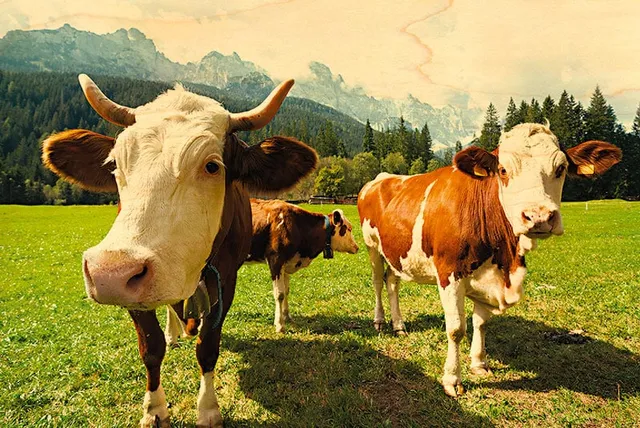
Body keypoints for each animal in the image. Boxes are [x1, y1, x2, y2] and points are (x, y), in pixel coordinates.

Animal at [42, 74, 317, 427]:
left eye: (212, 166)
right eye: (115, 164)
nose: (109, 274)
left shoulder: (225, 281)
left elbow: (208, 347)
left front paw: (208, 409)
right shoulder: (134, 290)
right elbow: (151, 348)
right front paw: (154, 409)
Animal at [246, 198, 359, 333]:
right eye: (348, 229)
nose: (357, 247)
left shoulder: (286, 263)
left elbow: (286, 291)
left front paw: (287, 316)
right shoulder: (275, 260)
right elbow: (279, 294)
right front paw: (279, 324)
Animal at [357, 123, 621, 397]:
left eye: (560, 168)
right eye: (503, 170)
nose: (538, 217)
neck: (504, 256)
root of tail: (382, 178)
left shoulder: (489, 276)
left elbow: (481, 322)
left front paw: (479, 363)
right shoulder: (449, 274)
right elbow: (456, 329)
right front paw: (452, 379)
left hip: (396, 253)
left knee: (392, 283)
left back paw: (398, 325)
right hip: (372, 246)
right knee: (378, 282)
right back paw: (379, 321)